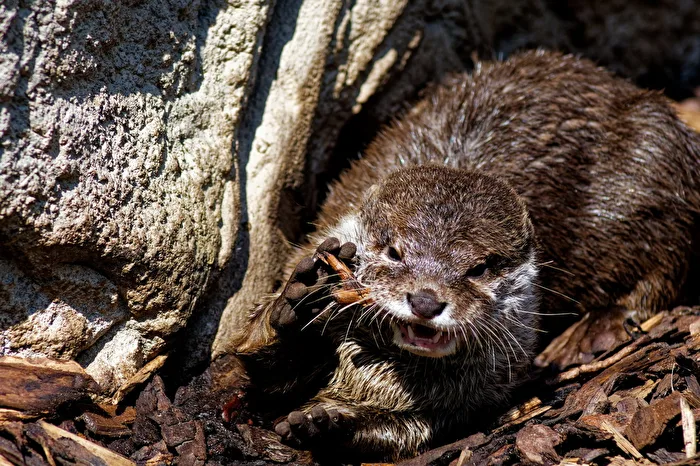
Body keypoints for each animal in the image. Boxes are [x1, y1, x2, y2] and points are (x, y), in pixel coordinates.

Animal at [231, 50, 700, 461]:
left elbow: (415, 429)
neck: (383, 373)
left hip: (656, 170)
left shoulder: (474, 394)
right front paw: (302, 299)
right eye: (395, 252)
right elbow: (256, 369)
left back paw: (589, 333)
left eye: (478, 268)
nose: (425, 300)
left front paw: (332, 423)